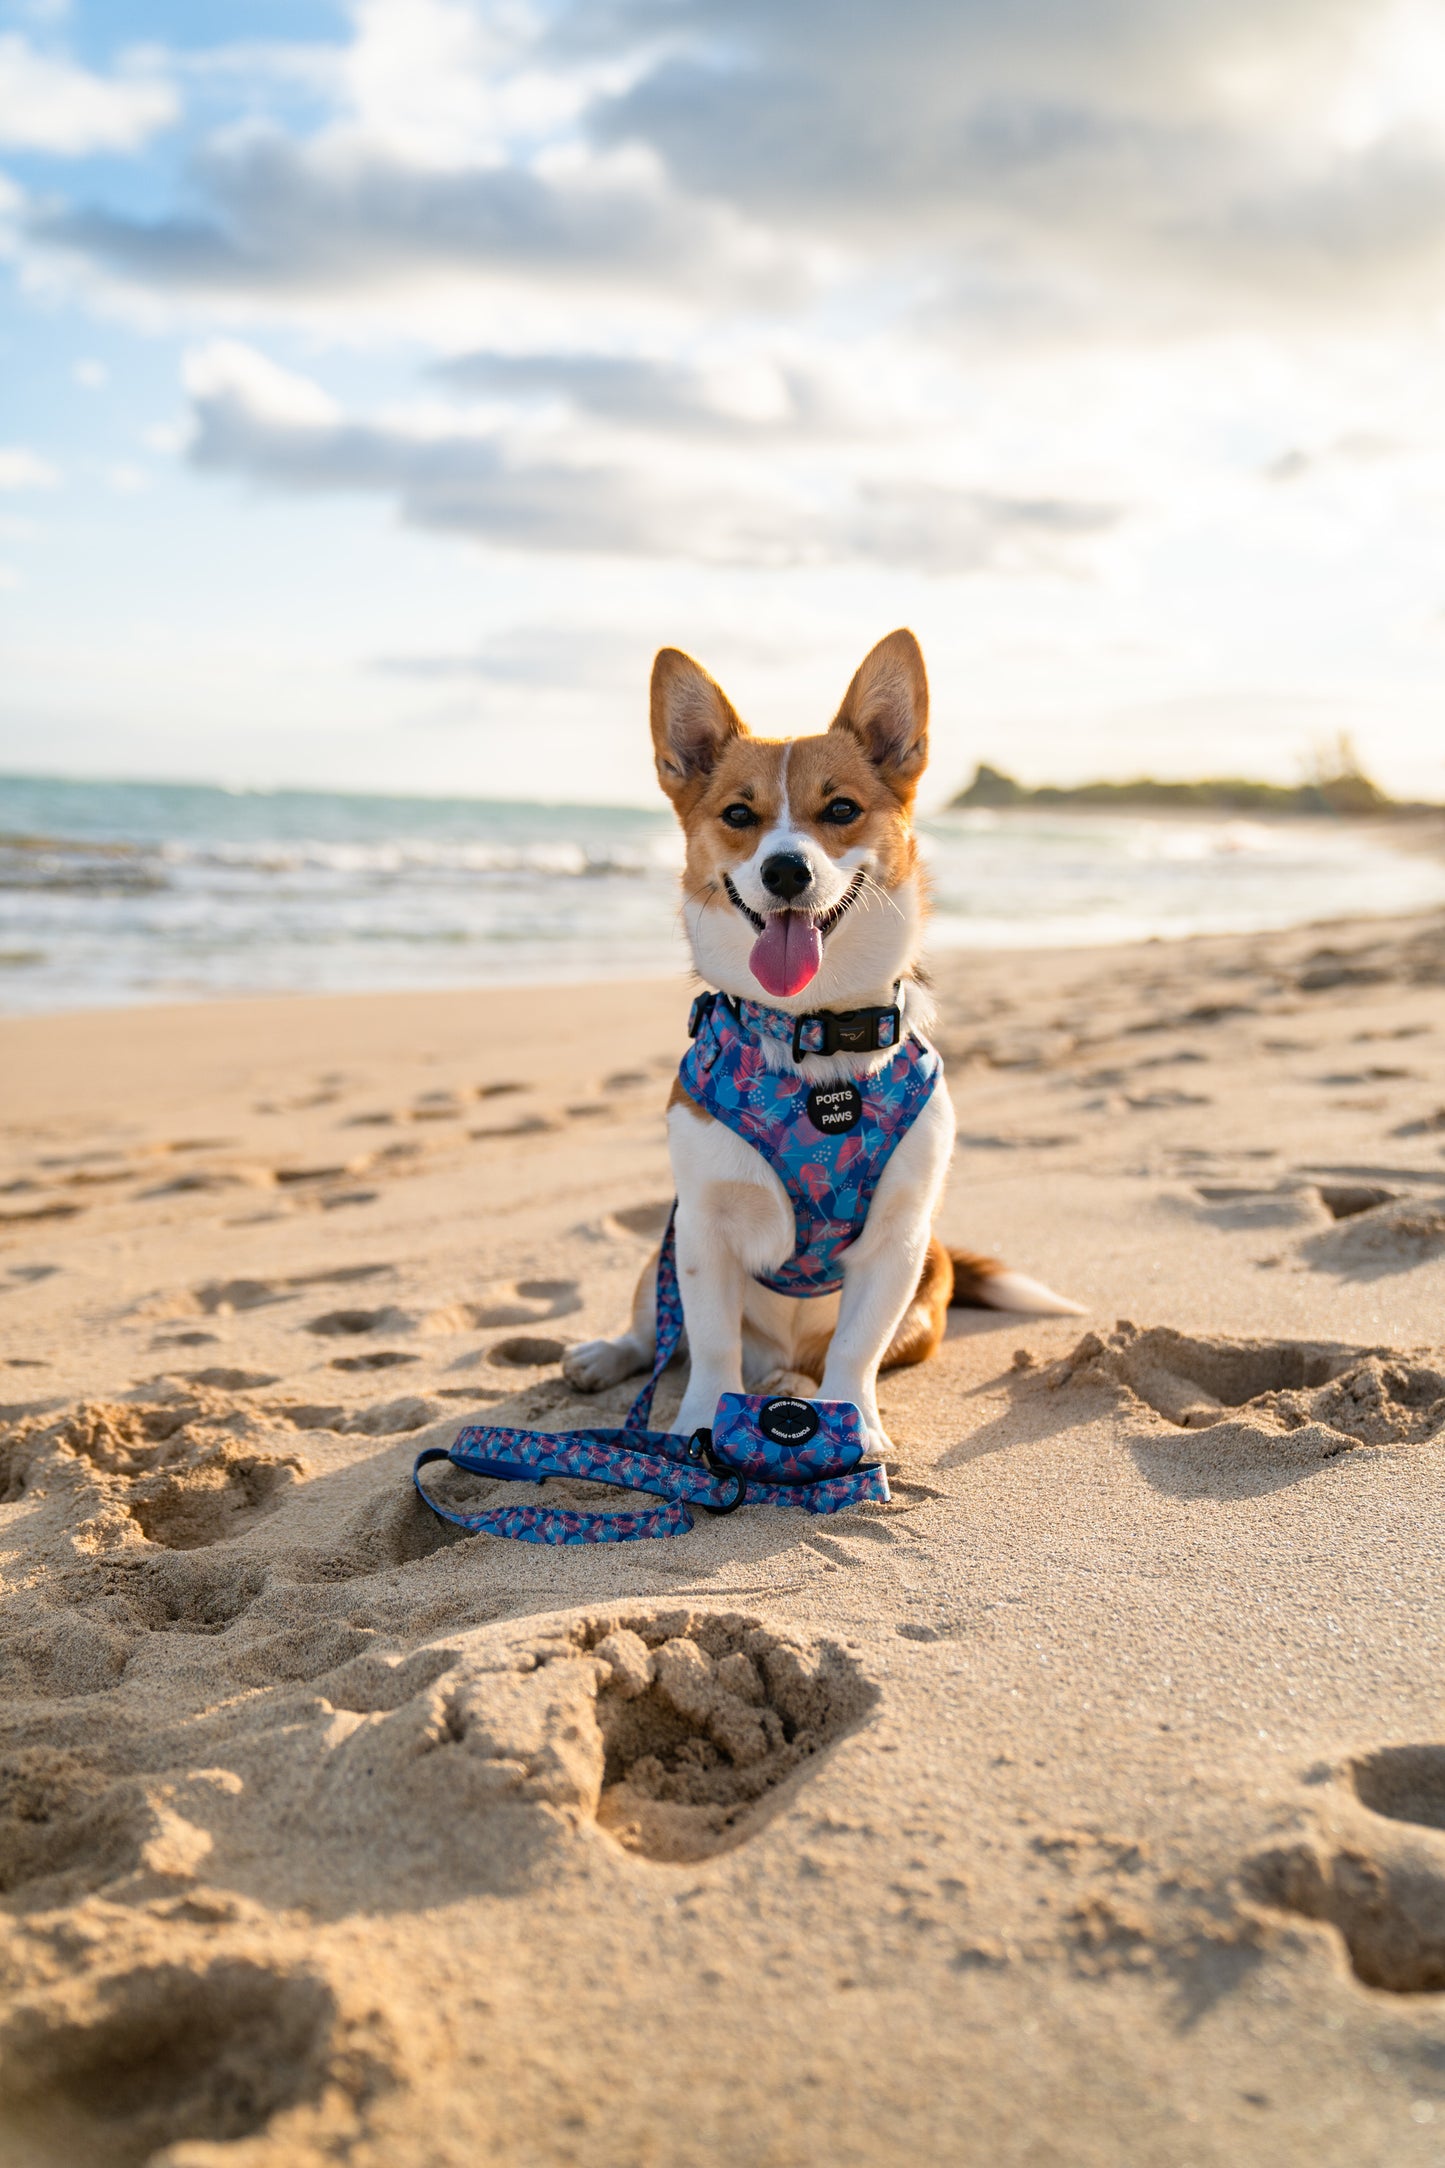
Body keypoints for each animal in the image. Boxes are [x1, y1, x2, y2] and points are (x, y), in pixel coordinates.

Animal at [563, 624, 1083, 1456]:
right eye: (738, 815)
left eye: (840, 808)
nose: (784, 870)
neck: (813, 1031)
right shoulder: (701, 1228)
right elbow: (709, 1342)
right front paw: (700, 1422)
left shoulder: (896, 1241)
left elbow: (855, 1346)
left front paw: (853, 1422)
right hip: (661, 1253)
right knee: (657, 1330)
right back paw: (610, 1356)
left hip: (926, 1286)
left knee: (811, 1357)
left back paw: (794, 1386)